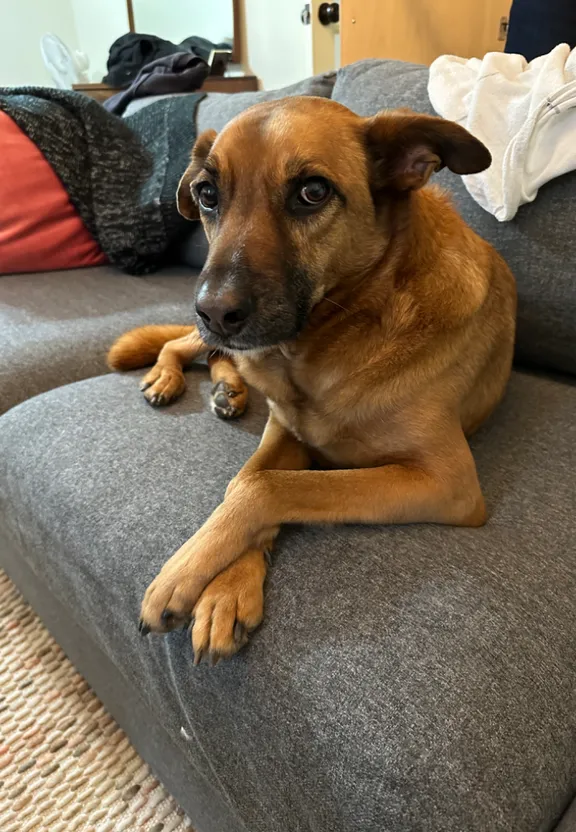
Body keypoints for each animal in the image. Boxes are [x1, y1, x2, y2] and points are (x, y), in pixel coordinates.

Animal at [109, 96, 516, 664]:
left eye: (313, 192)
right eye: (208, 194)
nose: (213, 312)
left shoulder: (446, 480)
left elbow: (266, 485)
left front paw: (189, 577)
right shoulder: (284, 425)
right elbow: (249, 478)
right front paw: (225, 585)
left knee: (210, 355)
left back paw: (225, 388)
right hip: (217, 346)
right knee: (182, 345)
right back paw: (175, 379)